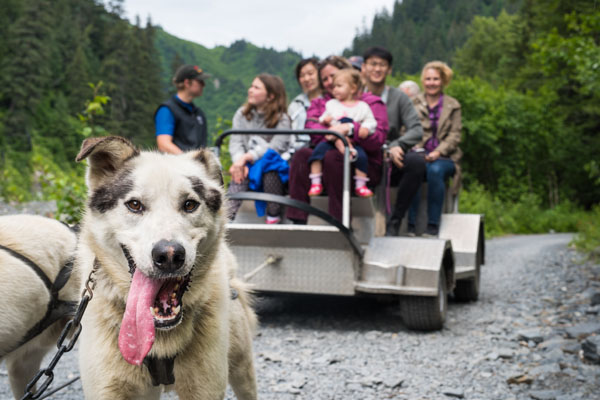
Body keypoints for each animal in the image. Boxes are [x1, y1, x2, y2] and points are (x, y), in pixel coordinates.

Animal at [74, 136, 255, 398]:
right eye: (135, 205)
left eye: (190, 204)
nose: (169, 255)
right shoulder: (107, 389)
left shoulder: (205, 388)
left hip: (242, 368)